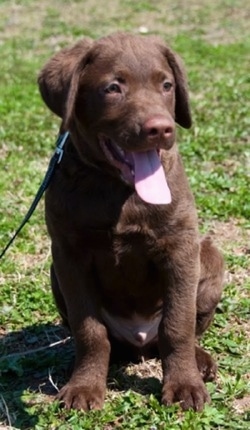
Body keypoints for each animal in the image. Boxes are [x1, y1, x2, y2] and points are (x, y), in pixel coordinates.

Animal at [38, 32, 225, 410]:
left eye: (166, 85)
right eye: (113, 88)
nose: (161, 129)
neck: (118, 188)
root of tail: (141, 343)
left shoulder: (180, 247)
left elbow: (177, 324)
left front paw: (184, 385)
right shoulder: (68, 255)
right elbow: (89, 330)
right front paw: (84, 387)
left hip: (211, 259)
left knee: (185, 329)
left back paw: (200, 361)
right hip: (54, 274)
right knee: (107, 340)